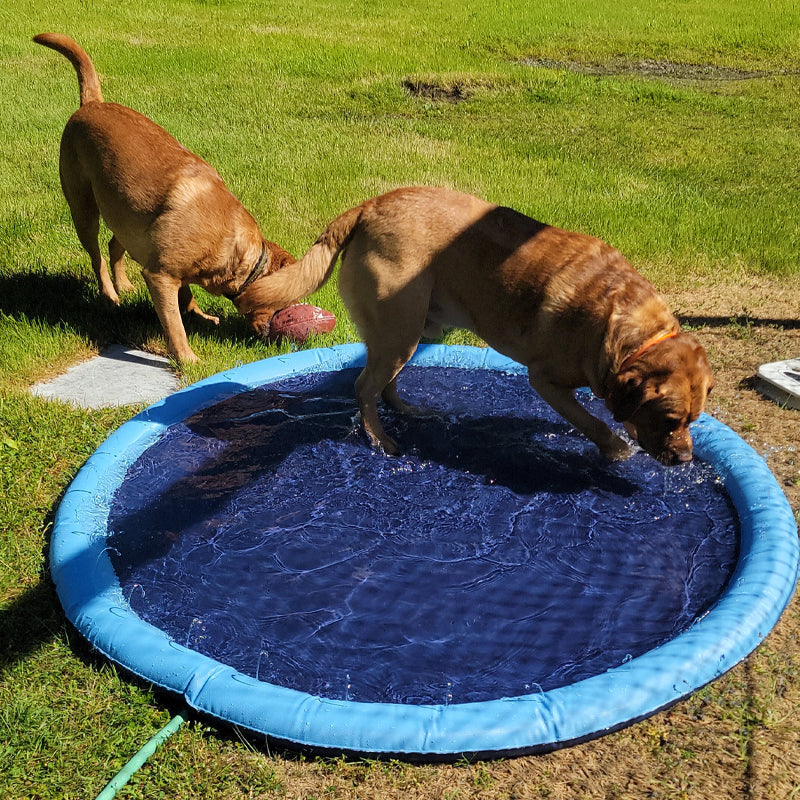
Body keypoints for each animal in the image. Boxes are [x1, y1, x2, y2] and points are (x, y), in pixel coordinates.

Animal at [33, 32, 294, 360]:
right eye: (288, 302)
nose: (288, 334)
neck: (235, 251)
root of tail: (92, 103)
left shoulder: (172, 267)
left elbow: (186, 297)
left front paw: (199, 315)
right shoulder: (161, 276)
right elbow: (174, 323)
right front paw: (188, 359)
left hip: (129, 216)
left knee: (114, 246)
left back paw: (124, 285)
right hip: (83, 210)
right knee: (97, 257)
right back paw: (109, 295)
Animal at [236, 185, 712, 466]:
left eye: (694, 419)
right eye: (670, 418)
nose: (686, 460)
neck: (628, 328)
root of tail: (369, 206)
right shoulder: (545, 380)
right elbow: (591, 421)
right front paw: (615, 449)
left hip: (408, 332)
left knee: (383, 382)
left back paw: (408, 411)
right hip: (401, 328)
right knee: (363, 388)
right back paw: (381, 440)